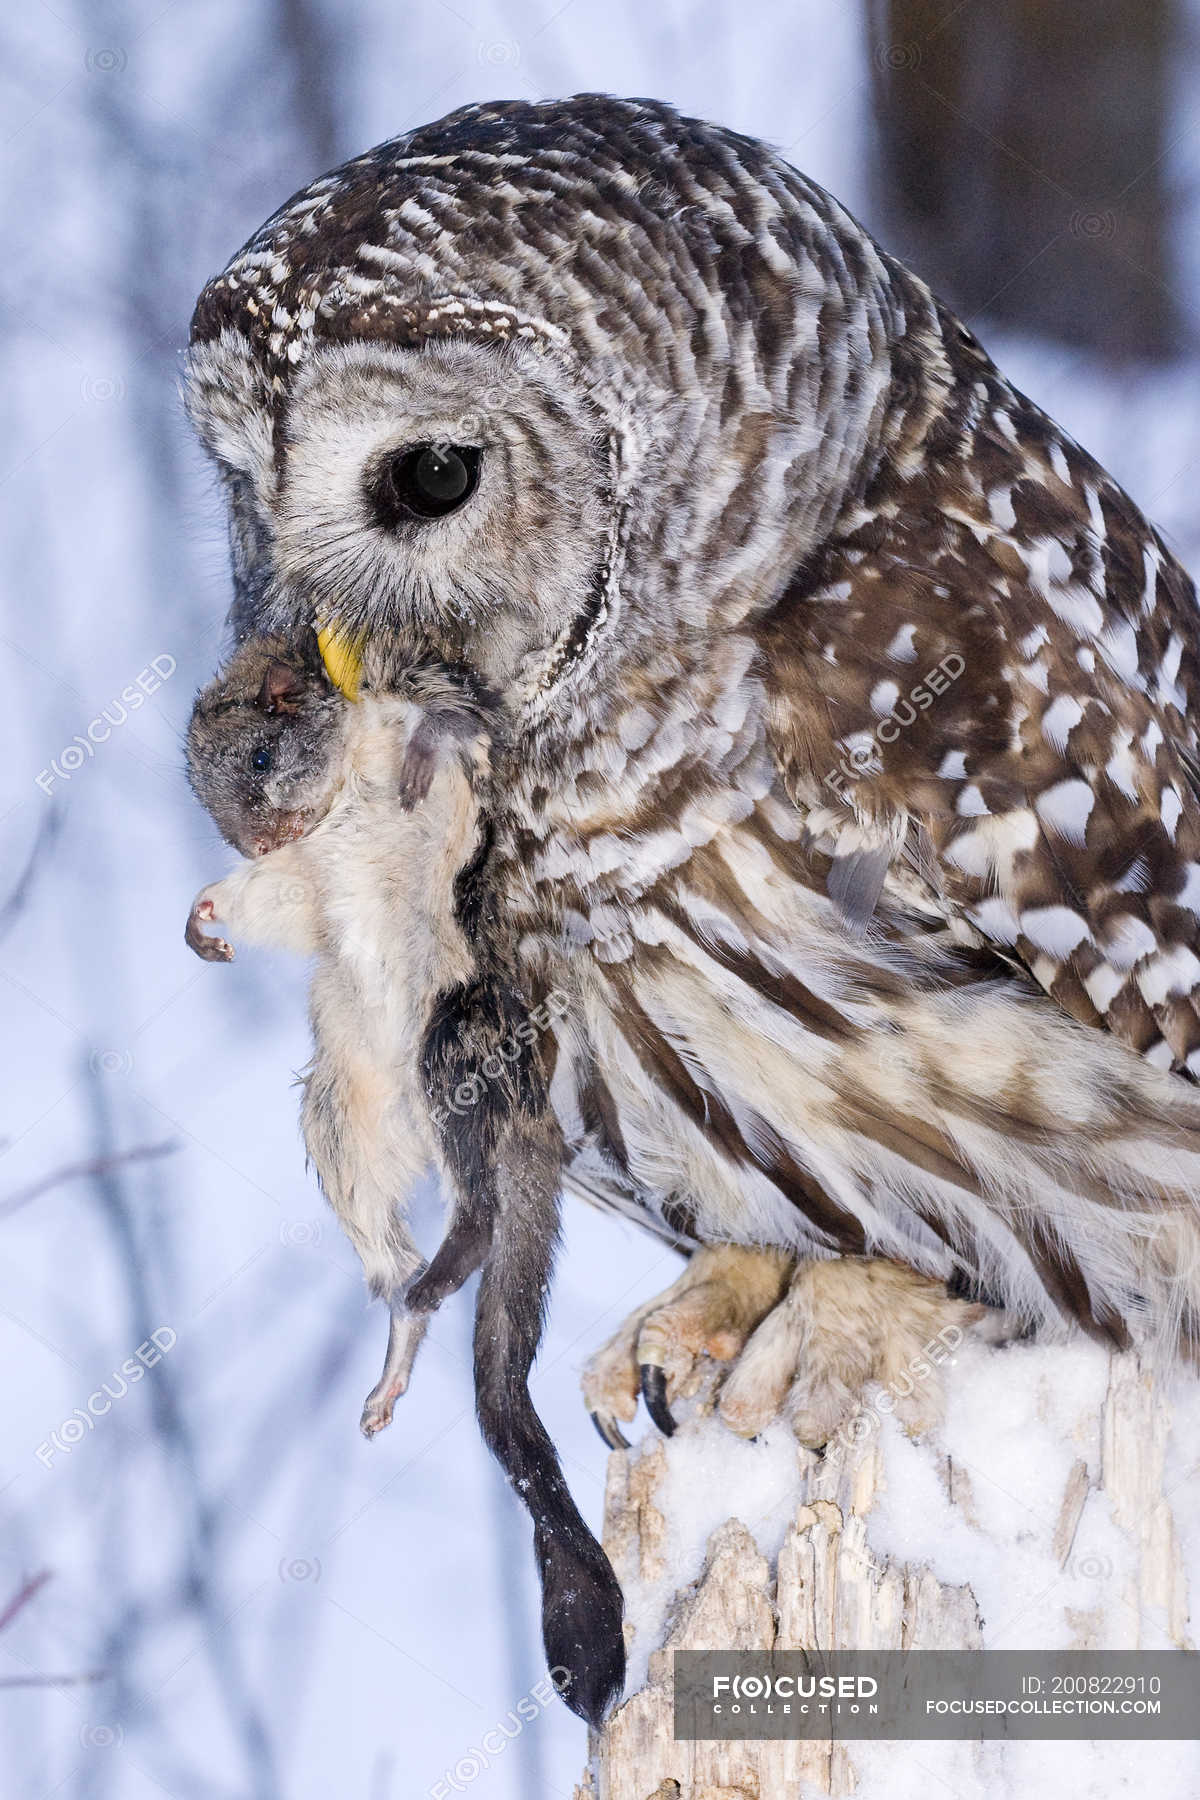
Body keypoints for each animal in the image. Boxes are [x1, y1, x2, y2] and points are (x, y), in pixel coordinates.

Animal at [184, 633, 626, 1726]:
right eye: (201, 790)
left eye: (263, 755)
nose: (255, 837)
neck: (340, 792)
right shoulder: (297, 877)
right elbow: (277, 903)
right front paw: (206, 918)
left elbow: (466, 738)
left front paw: (434, 743)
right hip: (344, 1114)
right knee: (398, 1252)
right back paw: (400, 1333)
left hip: (457, 1041)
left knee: (476, 1209)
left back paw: (447, 1267)